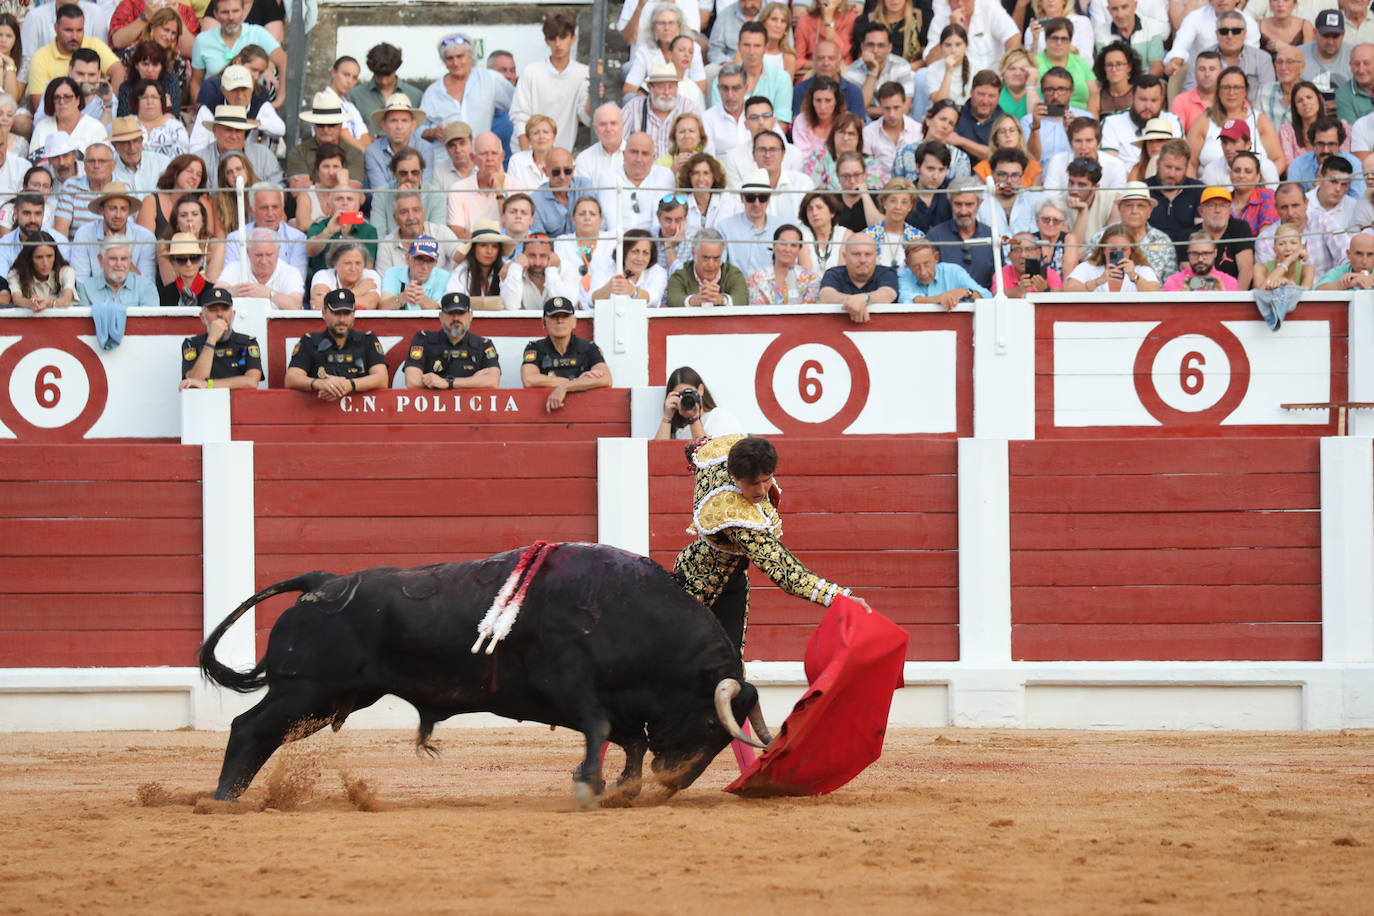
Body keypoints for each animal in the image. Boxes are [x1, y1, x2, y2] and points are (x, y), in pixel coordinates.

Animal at [199, 543, 769, 802]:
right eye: (710, 722)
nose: (674, 782)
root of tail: (324, 580)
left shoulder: (617, 699)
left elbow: (629, 738)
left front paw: (621, 789)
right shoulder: (573, 685)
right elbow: (602, 729)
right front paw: (590, 783)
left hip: (329, 701)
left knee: (260, 733)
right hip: (307, 692)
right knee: (247, 728)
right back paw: (224, 799)